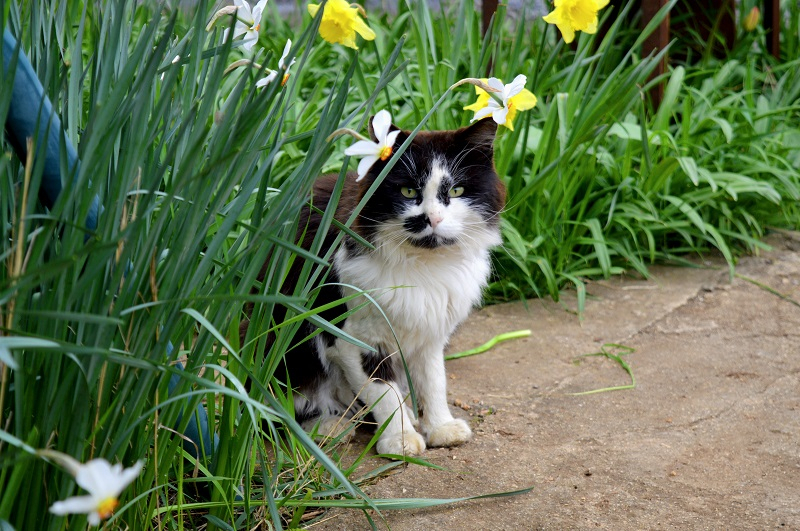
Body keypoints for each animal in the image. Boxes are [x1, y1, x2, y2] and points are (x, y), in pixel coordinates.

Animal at [247, 116, 504, 458]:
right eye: (408, 191)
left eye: (457, 190)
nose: (432, 219)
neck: (423, 268)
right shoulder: (355, 338)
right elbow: (384, 394)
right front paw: (400, 439)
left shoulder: (431, 330)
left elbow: (434, 382)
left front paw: (440, 427)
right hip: (282, 344)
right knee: (283, 407)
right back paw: (328, 426)